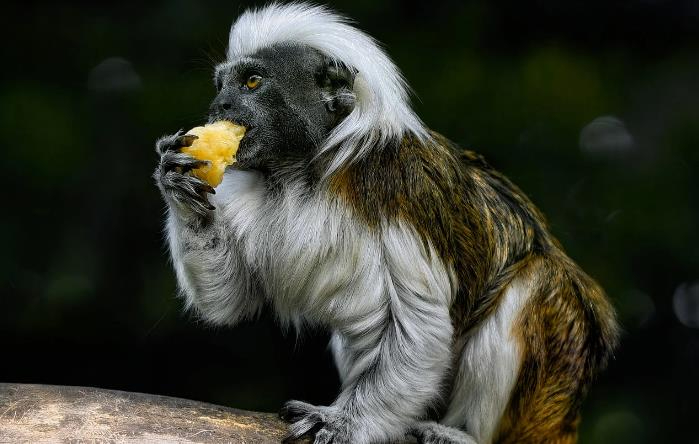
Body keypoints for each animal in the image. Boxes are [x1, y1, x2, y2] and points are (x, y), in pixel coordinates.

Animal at [154, 3, 616, 444]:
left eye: (252, 82)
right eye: (221, 87)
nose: (220, 107)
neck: (302, 173)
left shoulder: (397, 192)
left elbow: (418, 323)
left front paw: (345, 422)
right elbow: (233, 298)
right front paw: (178, 179)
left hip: (554, 372)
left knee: (535, 283)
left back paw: (462, 433)